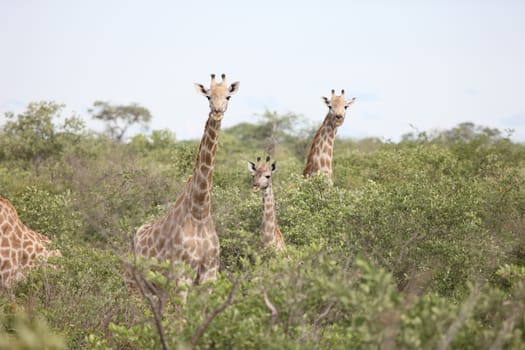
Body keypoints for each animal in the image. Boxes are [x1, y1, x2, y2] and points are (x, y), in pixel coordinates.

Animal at [127, 74, 239, 292]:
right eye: (208, 96)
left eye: (228, 96)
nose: (217, 112)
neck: (200, 212)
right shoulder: (182, 274)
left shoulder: (209, 274)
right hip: (135, 282)